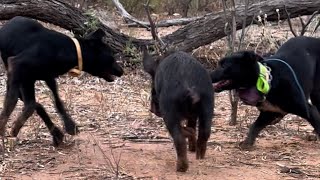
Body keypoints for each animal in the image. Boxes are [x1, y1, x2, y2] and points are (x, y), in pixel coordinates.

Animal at [0, 16, 124, 147]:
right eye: (111, 56)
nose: (121, 71)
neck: (70, 50)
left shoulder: (46, 77)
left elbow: (56, 101)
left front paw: (69, 125)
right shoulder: (18, 65)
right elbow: (13, 103)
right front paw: (8, 128)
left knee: (34, 103)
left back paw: (56, 133)